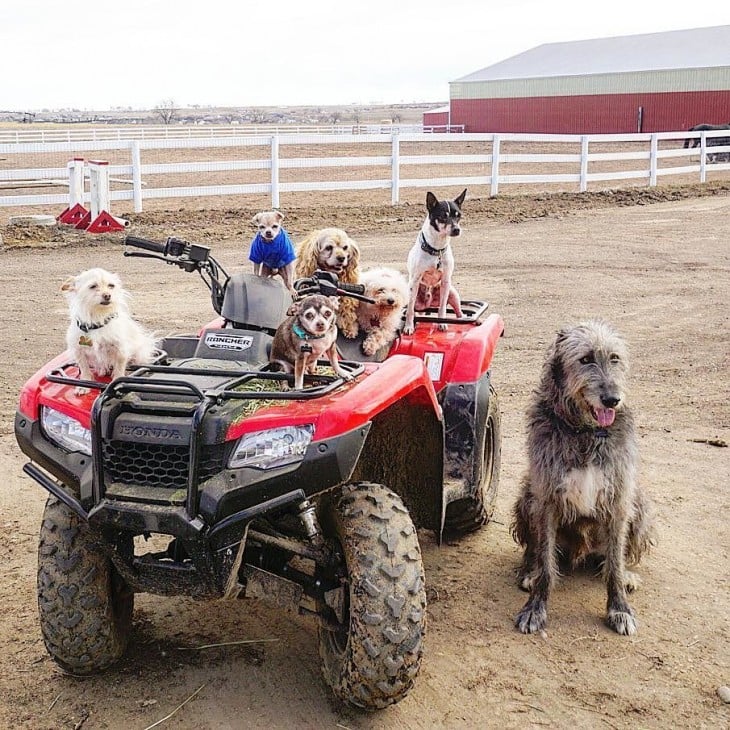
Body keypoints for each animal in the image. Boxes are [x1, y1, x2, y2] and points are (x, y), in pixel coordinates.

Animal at [510, 318, 652, 632]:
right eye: (585, 359)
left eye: (615, 358)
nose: (612, 399)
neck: (585, 432)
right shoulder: (546, 499)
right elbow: (546, 564)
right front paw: (535, 608)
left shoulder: (618, 500)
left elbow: (614, 566)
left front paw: (619, 608)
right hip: (526, 495)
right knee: (536, 551)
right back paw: (529, 571)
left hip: (640, 504)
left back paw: (628, 574)